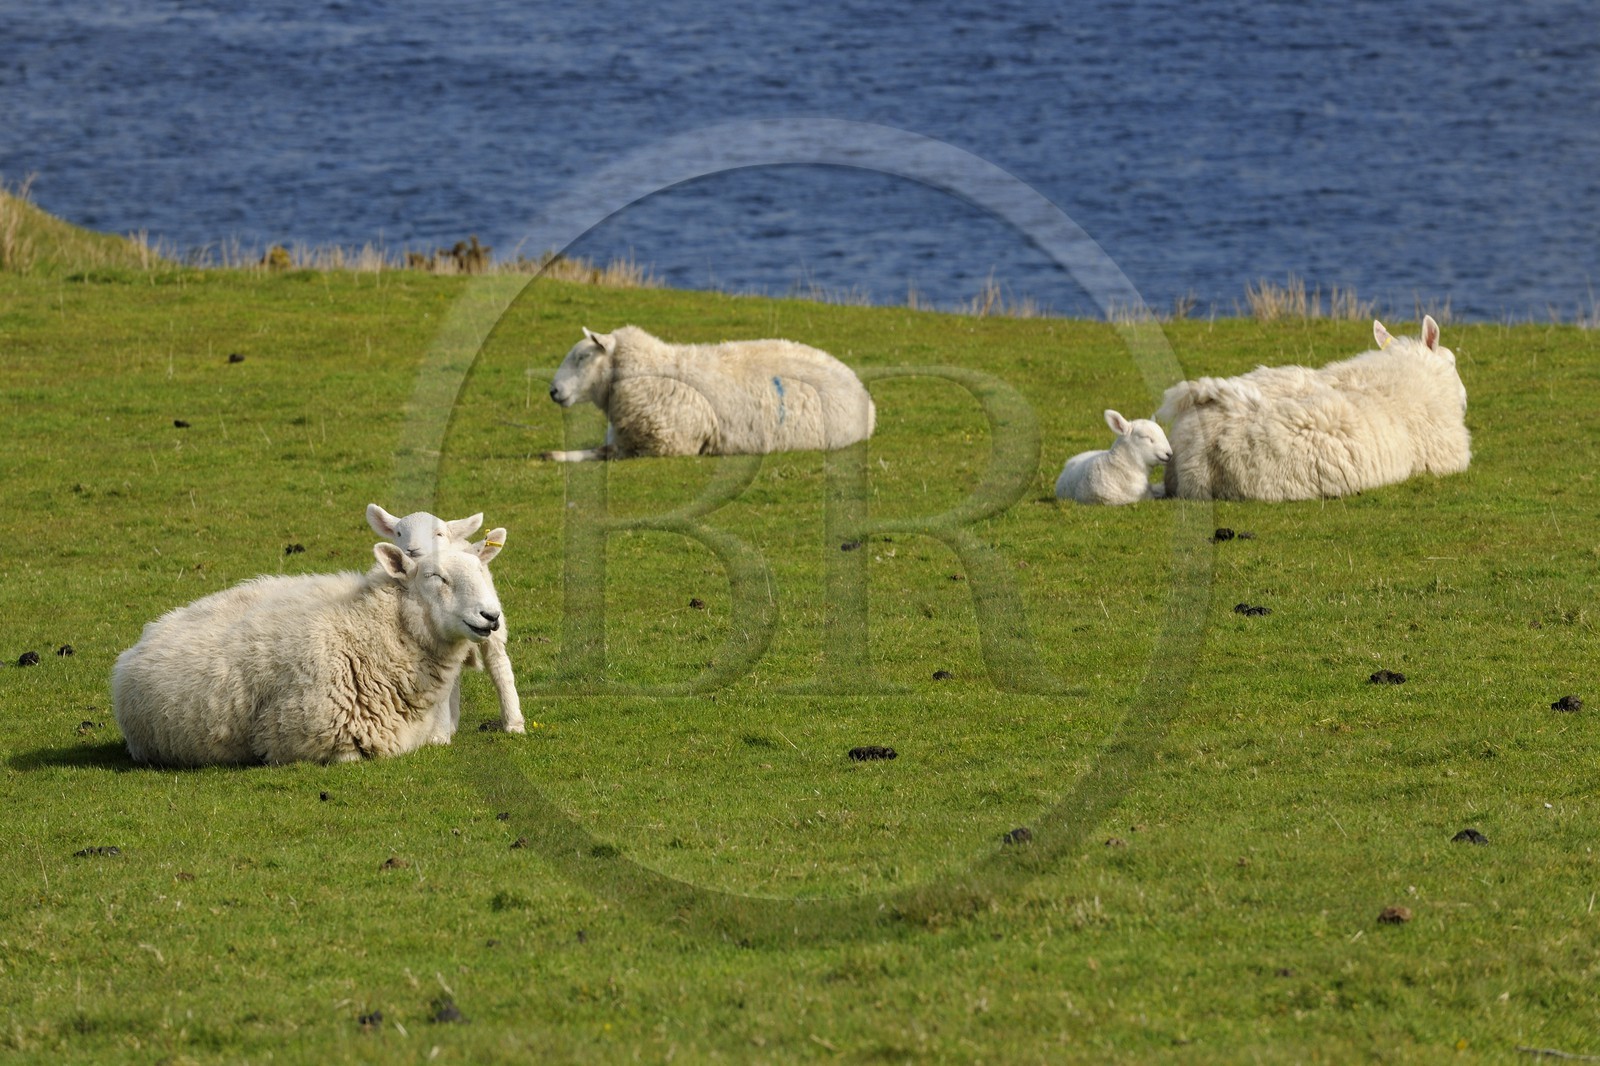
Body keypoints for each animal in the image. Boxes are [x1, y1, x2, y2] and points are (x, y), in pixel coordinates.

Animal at [111, 537, 505, 767]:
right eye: (435, 577)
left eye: (482, 571)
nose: (491, 616)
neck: (372, 627)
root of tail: (144, 637)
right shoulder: (306, 739)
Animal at [542, 325, 876, 460]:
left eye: (583, 357)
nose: (553, 391)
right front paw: (552, 454)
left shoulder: (665, 445)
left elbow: (602, 453)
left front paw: (556, 455)